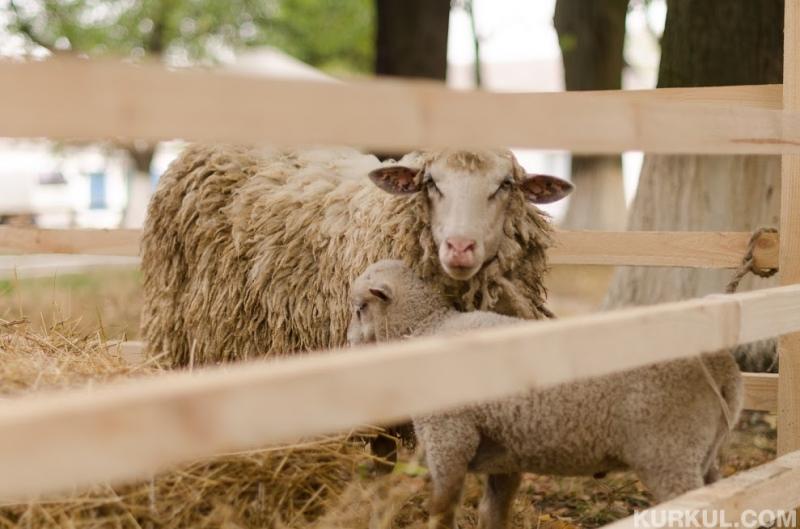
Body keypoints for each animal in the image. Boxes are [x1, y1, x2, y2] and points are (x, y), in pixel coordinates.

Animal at [346, 258, 748, 528]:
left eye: (360, 307)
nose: (347, 345)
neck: (428, 329)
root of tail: (720, 365)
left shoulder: (449, 439)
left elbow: (442, 510)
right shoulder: (506, 455)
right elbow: (493, 513)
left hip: (669, 451)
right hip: (703, 453)